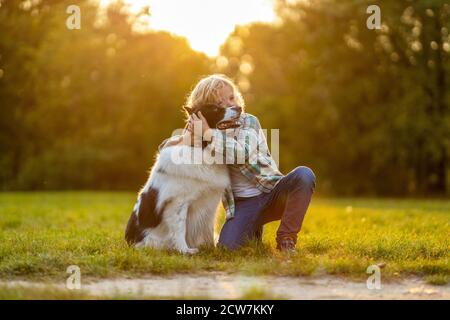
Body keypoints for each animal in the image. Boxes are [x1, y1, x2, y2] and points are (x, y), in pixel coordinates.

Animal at [125, 104, 241, 254]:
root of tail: (129, 242)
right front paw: (184, 250)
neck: (201, 148)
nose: (239, 108)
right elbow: (180, 228)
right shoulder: (178, 203)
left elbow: (208, 227)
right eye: (215, 109)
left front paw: (212, 248)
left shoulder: (209, 204)